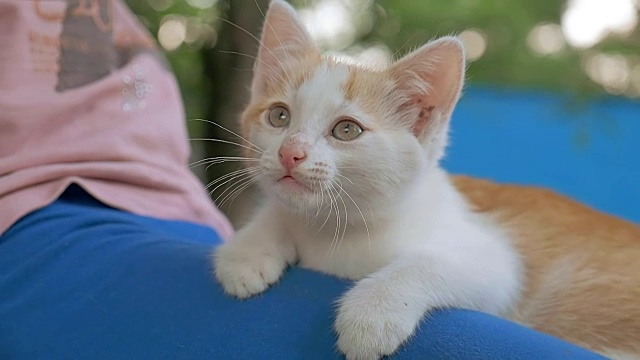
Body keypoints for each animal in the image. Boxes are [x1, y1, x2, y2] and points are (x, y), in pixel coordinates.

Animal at [214, 1, 640, 358]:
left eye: (347, 130)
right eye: (279, 116)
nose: (290, 153)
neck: (336, 233)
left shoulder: (495, 260)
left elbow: (429, 263)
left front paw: (372, 314)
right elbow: (277, 212)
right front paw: (247, 252)